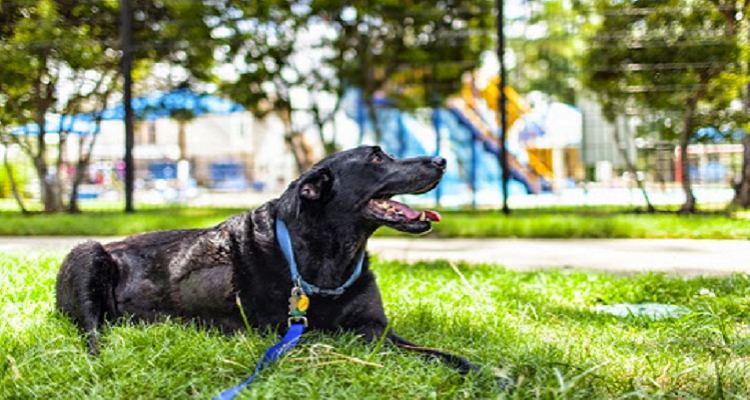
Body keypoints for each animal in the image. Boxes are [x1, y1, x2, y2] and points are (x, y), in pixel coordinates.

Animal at [57, 146, 482, 376]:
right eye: (377, 158)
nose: (441, 160)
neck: (329, 259)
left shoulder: (378, 328)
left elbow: (440, 354)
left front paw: (483, 372)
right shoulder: (326, 334)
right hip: (87, 254)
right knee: (91, 332)